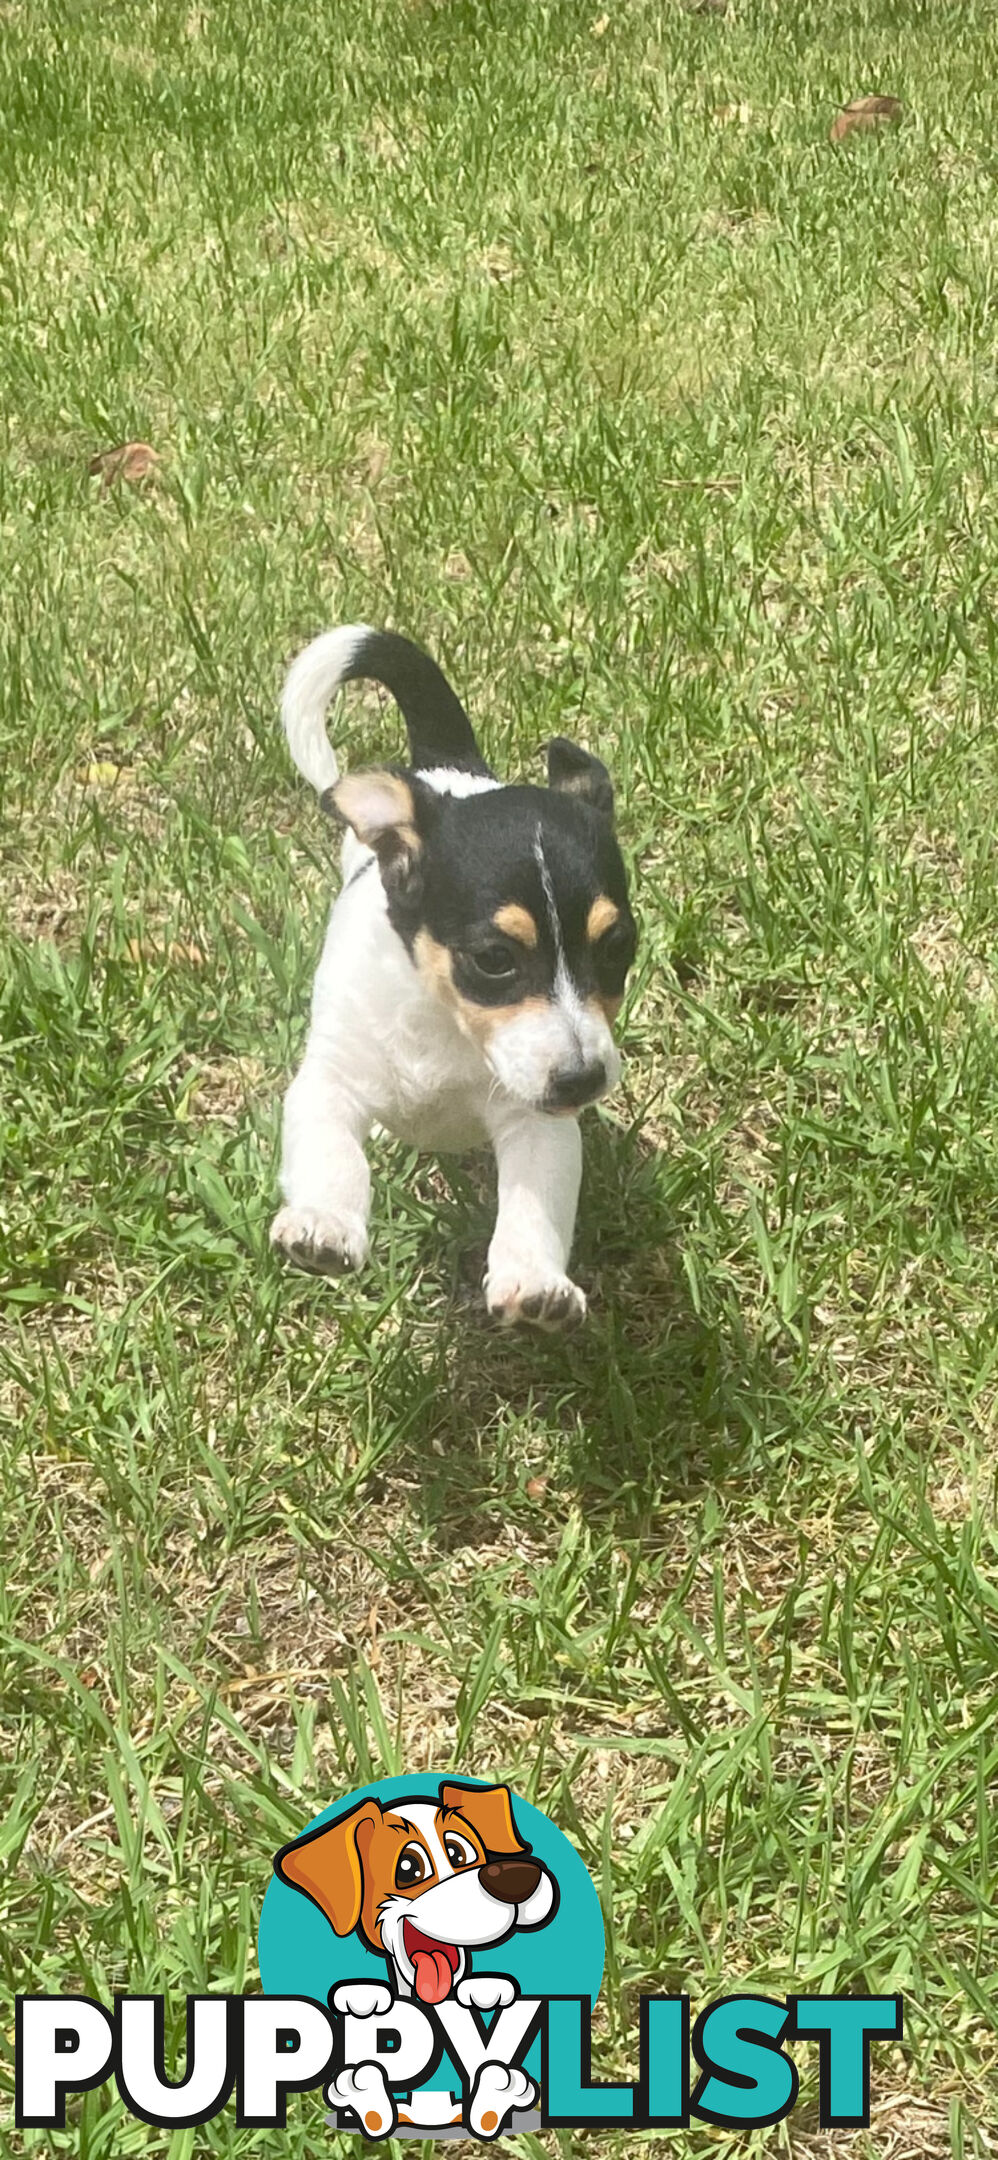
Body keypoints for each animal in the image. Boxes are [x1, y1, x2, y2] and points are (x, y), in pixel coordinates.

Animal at [268, 626, 635, 1321]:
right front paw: (326, 1223)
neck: (444, 1021)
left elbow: (533, 1206)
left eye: (617, 949)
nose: (583, 1080)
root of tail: (453, 770)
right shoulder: (329, 1079)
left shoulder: (537, 1120)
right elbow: (334, 1157)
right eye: (494, 960)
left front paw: (534, 1280)